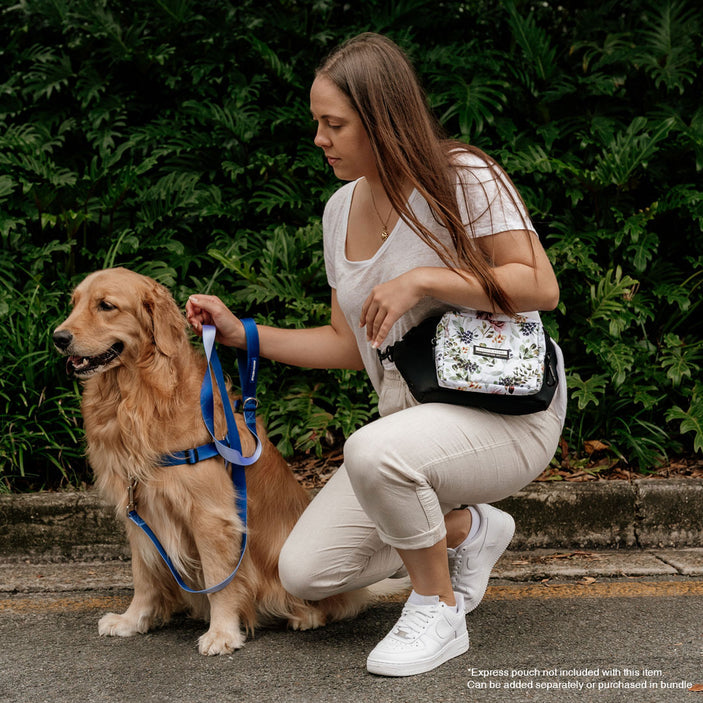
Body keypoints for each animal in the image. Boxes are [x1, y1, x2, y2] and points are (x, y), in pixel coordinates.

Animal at [55, 268, 368, 656]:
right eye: (74, 303)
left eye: (106, 306)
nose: (58, 338)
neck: (138, 394)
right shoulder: (138, 510)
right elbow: (143, 574)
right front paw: (132, 619)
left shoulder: (209, 514)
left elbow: (220, 579)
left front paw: (221, 632)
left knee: (337, 604)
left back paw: (306, 615)